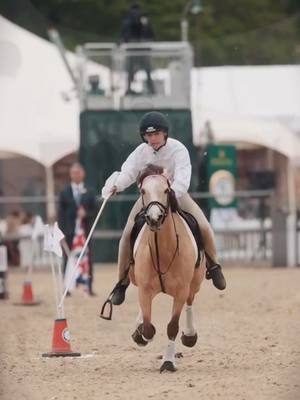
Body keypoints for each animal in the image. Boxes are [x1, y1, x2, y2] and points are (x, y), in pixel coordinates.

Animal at [129, 165, 206, 372]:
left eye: (166, 190)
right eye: (142, 190)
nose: (154, 218)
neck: (163, 251)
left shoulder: (180, 292)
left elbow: (172, 327)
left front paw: (168, 362)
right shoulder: (144, 290)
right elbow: (148, 327)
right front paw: (142, 334)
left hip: (194, 284)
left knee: (190, 301)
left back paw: (190, 335)